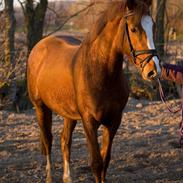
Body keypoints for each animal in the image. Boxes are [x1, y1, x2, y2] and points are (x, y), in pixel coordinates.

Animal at [27, 0, 162, 182]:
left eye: (153, 27)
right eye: (134, 29)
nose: (153, 71)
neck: (99, 71)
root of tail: (39, 46)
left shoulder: (113, 121)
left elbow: (105, 160)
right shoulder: (89, 122)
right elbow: (97, 163)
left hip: (68, 114)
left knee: (65, 141)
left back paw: (67, 178)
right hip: (41, 108)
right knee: (48, 140)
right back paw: (49, 177)